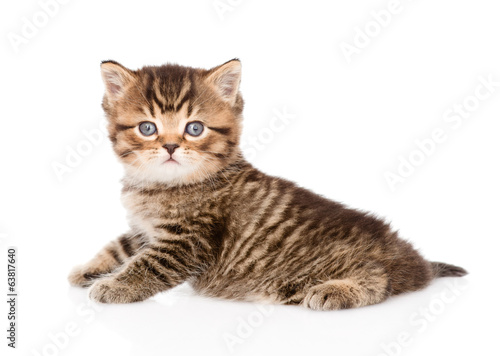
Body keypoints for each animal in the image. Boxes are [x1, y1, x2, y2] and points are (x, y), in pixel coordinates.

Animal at [68, 58, 466, 308]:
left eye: (194, 128)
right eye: (147, 128)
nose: (169, 146)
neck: (161, 186)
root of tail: (410, 258)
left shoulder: (187, 243)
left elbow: (148, 265)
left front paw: (114, 286)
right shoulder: (143, 230)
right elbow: (121, 246)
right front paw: (89, 268)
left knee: (379, 280)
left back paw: (336, 292)